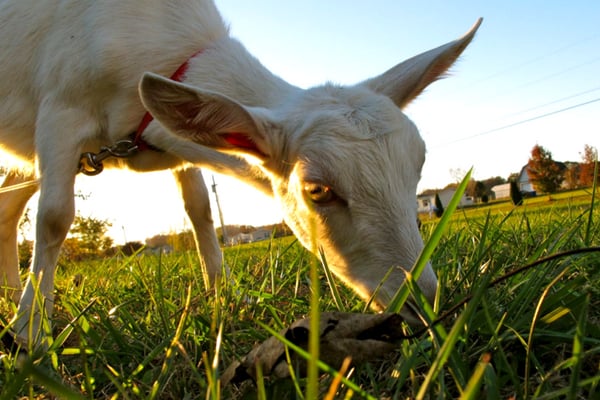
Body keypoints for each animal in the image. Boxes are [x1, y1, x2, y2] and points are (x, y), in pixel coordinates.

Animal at [0, 0, 478, 346]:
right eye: (317, 189)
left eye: (418, 165)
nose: (424, 303)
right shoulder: (60, 113)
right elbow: (55, 217)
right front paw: (31, 333)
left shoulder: (173, 143)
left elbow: (199, 210)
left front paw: (223, 292)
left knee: (7, 207)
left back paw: (8, 292)